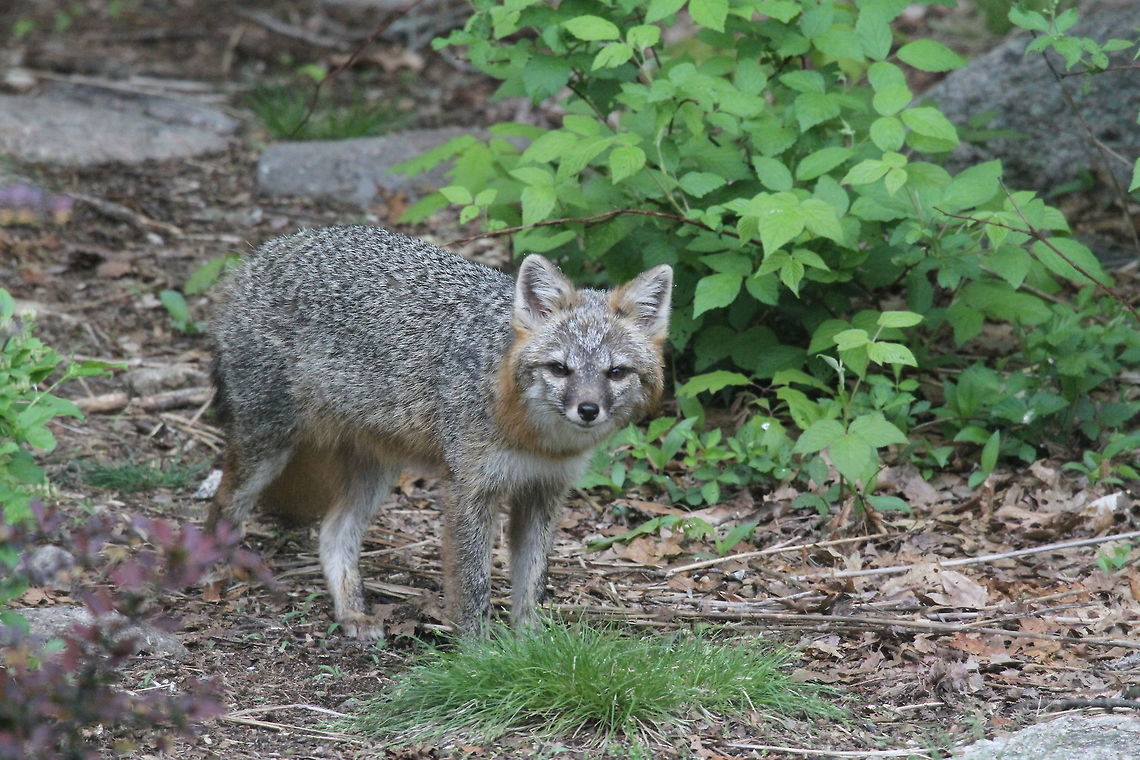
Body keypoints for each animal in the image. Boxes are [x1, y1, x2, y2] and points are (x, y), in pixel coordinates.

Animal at [207, 225, 672, 640]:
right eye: (560, 368)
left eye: (616, 373)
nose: (588, 410)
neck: (536, 440)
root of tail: (263, 253)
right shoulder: (468, 490)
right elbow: (472, 585)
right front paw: (477, 656)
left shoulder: (543, 491)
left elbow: (531, 586)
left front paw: (533, 648)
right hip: (266, 446)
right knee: (223, 506)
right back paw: (211, 569)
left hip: (375, 472)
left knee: (333, 533)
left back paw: (352, 613)